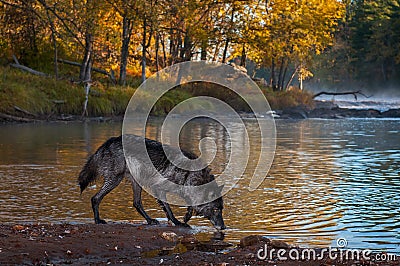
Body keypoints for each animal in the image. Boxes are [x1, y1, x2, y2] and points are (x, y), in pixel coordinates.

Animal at [77, 135, 225, 231]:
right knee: (95, 198)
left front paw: (186, 217)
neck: (189, 173)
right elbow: (169, 209)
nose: (224, 227)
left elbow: (189, 204)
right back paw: (97, 220)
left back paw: (149, 220)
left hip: (136, 182)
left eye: (221, 209)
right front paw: (178, 222)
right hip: (115, 180)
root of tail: (108, 142)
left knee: (136, 203)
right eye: (216, 209)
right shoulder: (158, 188)